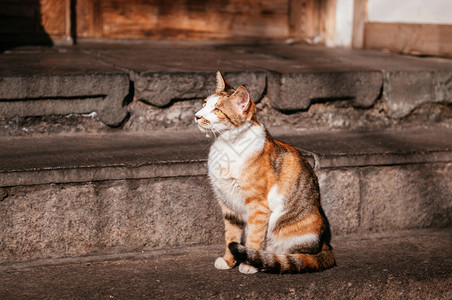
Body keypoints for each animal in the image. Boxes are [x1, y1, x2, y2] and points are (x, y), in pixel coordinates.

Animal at [194, 71, 336, 274]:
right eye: (204, 104)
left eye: (217, 111)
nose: (196, 116)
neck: (227, 145)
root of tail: (324, 244)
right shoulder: (228, 205)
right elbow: (231, 236)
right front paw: (228, 261)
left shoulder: (257, 206)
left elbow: (254, 236)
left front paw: (248, 264)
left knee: (296, 256)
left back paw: (269, 259)